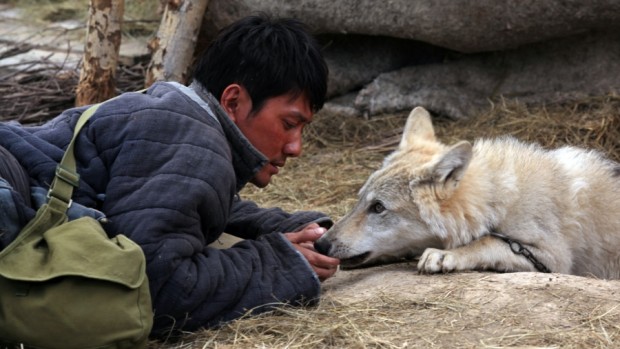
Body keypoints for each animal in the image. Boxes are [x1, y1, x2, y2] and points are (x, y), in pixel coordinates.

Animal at [314, 106, 620, 278]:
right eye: (360, 201)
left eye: (378, 207)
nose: (320, 245)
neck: (495, 201)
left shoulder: (553, 258)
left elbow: (486, 242)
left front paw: (444, 255)